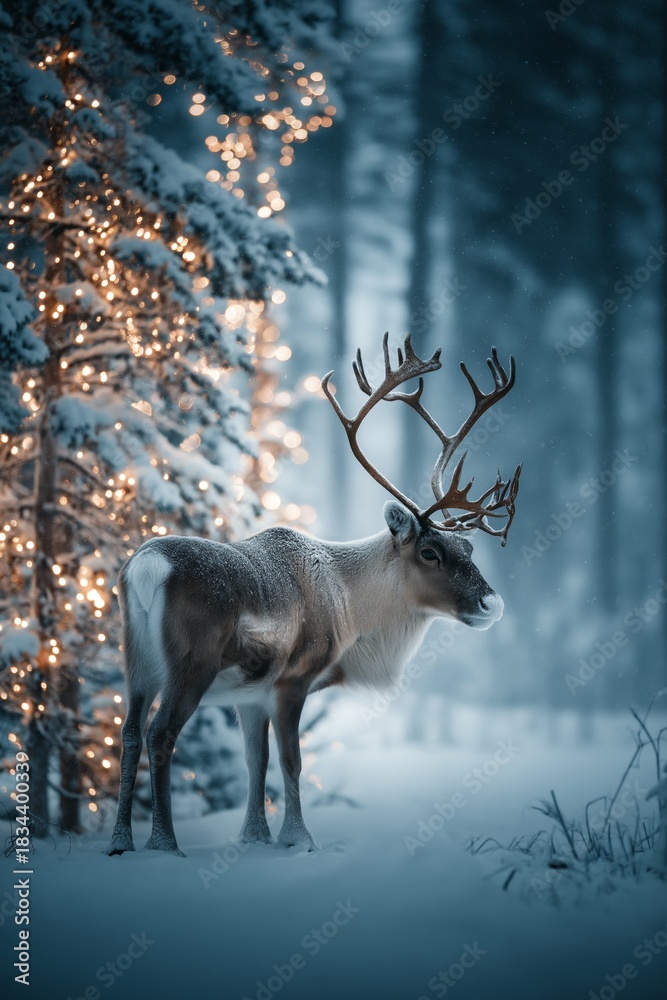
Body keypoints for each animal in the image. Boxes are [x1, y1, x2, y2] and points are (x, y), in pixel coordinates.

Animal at [107, 334, 521, 857]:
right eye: (430, 552)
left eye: (468, 547)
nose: (493, 604)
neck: (351, 607)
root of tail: (145, 568)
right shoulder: (292, 680)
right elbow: (292, 762)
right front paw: (299, 839)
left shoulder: (250, 696)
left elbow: (256, 762)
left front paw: (254, 837)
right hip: (190, 665)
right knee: (161, 735)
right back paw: (165, 844)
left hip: (136, 661)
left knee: (128, 734)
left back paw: (121, 841)